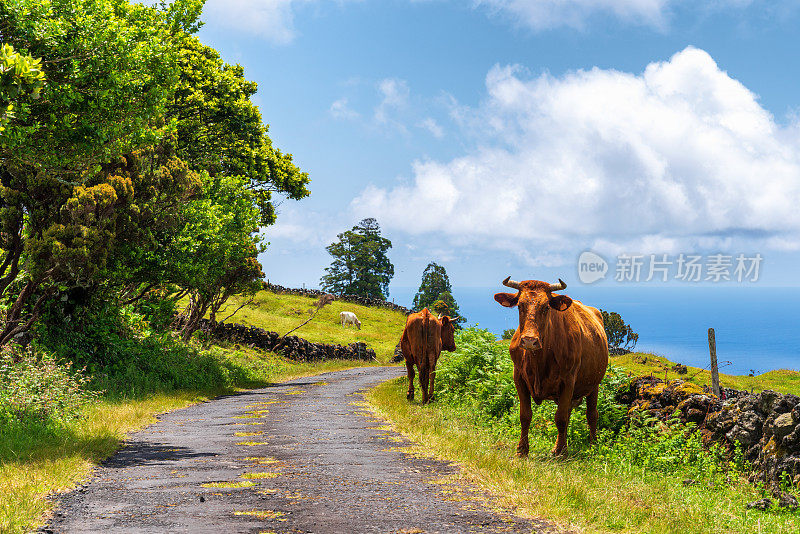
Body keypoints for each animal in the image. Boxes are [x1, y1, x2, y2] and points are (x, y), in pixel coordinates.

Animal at [494, 278, 608, 458]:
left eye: (546, 307)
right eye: (519, 305)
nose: (529, 340)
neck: (538, 361)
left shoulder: (568, 380)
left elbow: (560, 418)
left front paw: (561, 453)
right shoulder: (518, 377)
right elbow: (525, 416)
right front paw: (522, 449)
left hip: (594, 384)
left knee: (591, 414)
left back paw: (592, 445)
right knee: (569, 413)